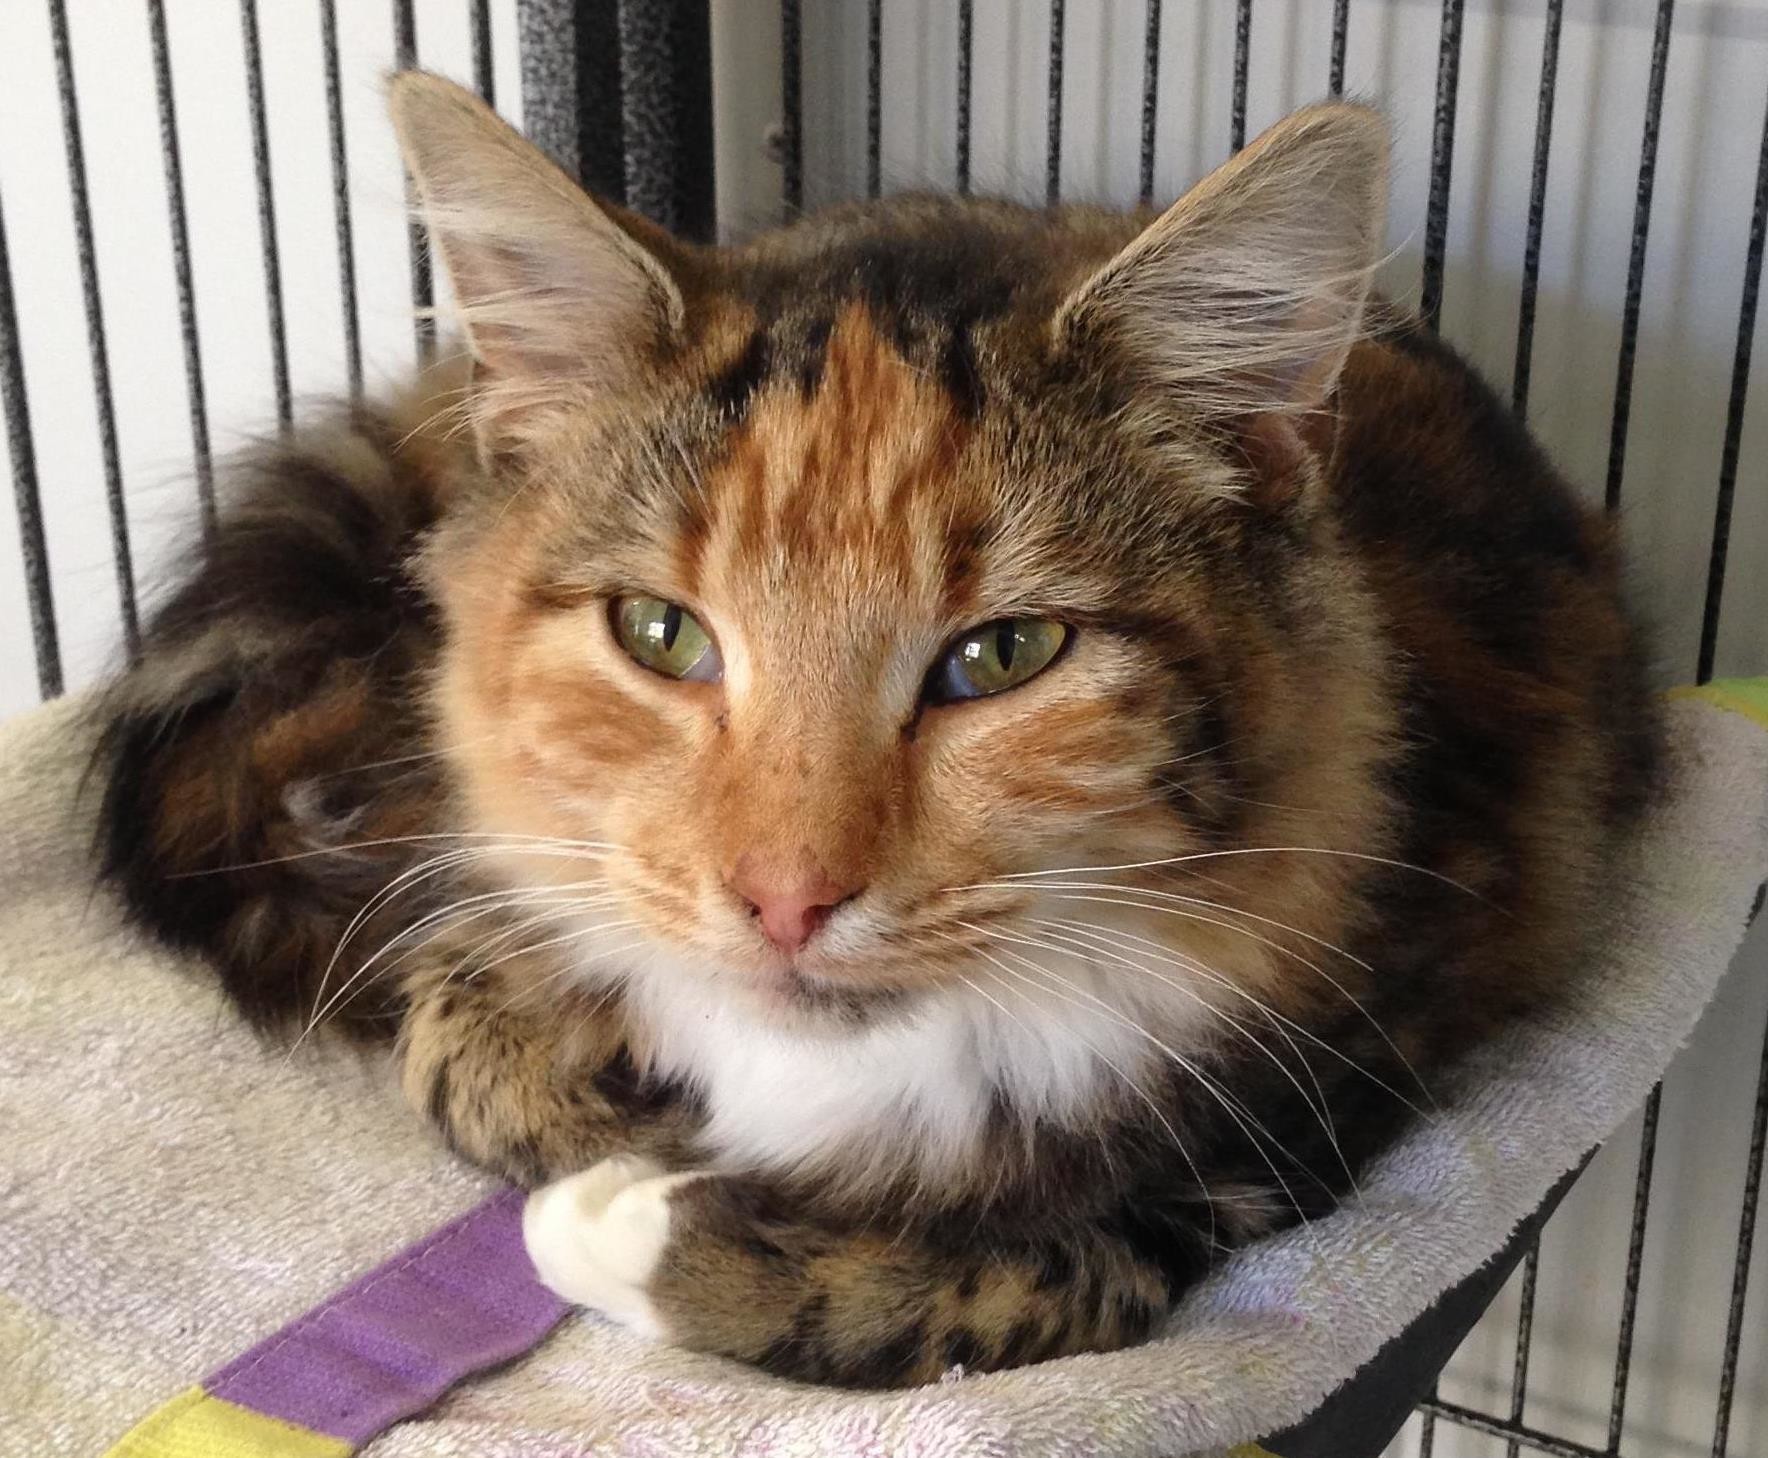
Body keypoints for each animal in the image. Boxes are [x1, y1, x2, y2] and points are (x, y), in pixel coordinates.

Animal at [92, 73, 1661, 1387]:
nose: (785, 900)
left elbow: (966, 1279)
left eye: (1003, 655)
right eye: (661, 634)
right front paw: (598, 1105)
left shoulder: (1294, 1116)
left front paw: (629, 1221)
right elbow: (461, 1045)